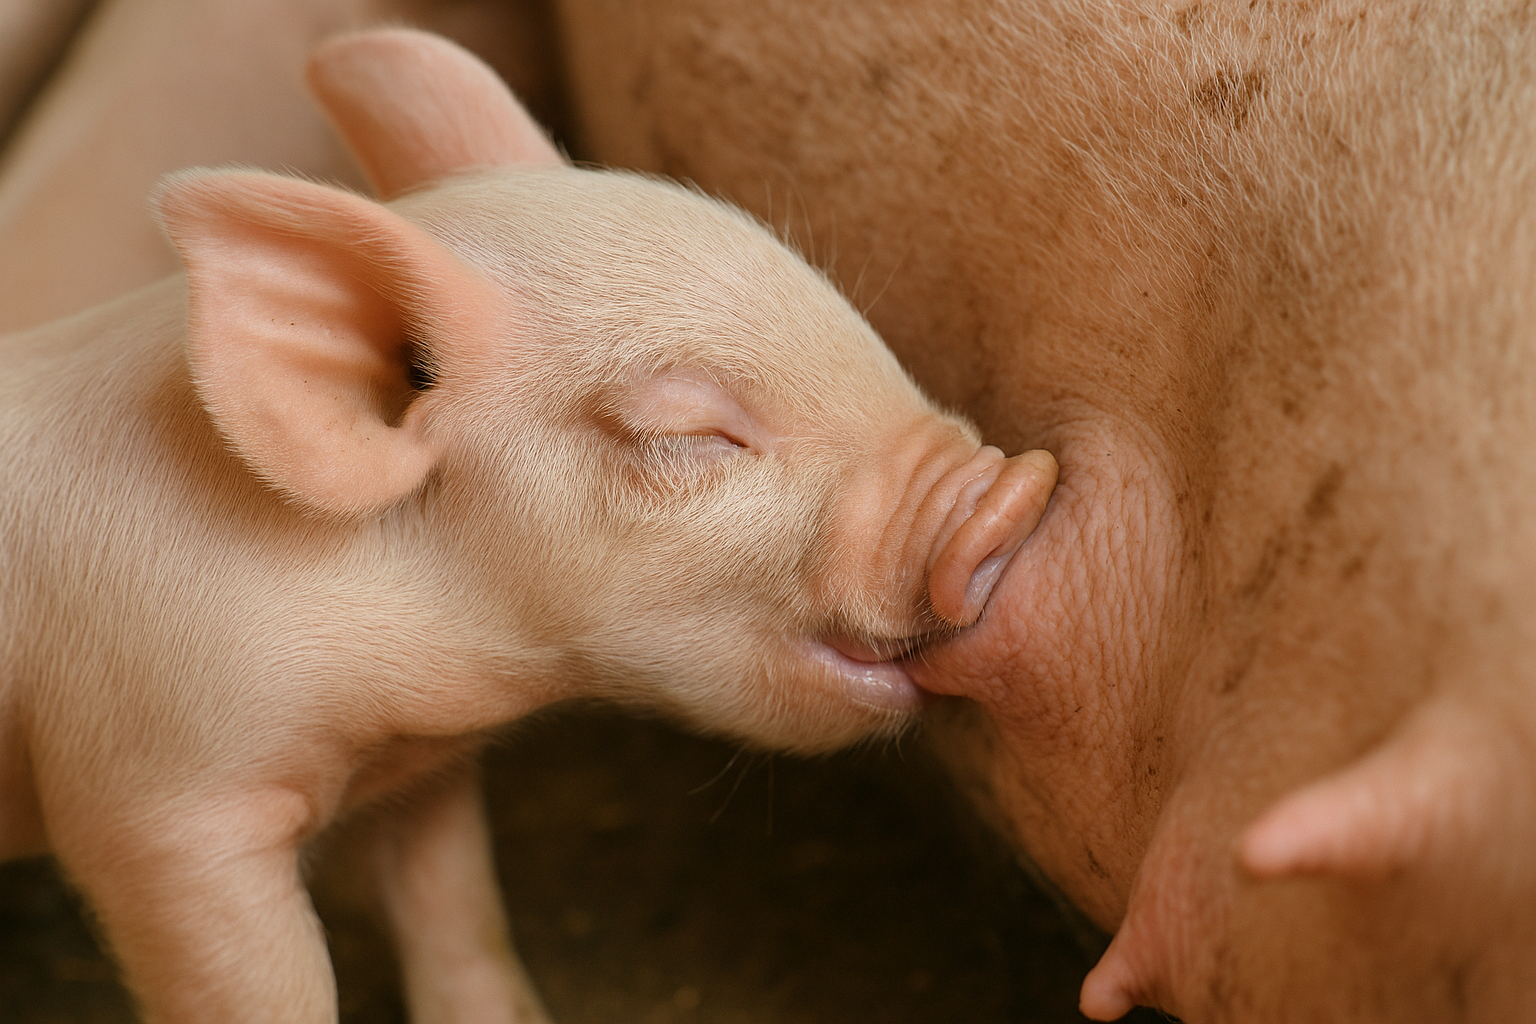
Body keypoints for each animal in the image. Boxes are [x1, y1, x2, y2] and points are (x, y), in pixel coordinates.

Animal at [0, 27, 1058, 1024]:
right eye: (690, 434)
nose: (1011, 490)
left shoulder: (419, 764)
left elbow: (456, 907)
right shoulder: (156, 802)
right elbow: (262, 984)